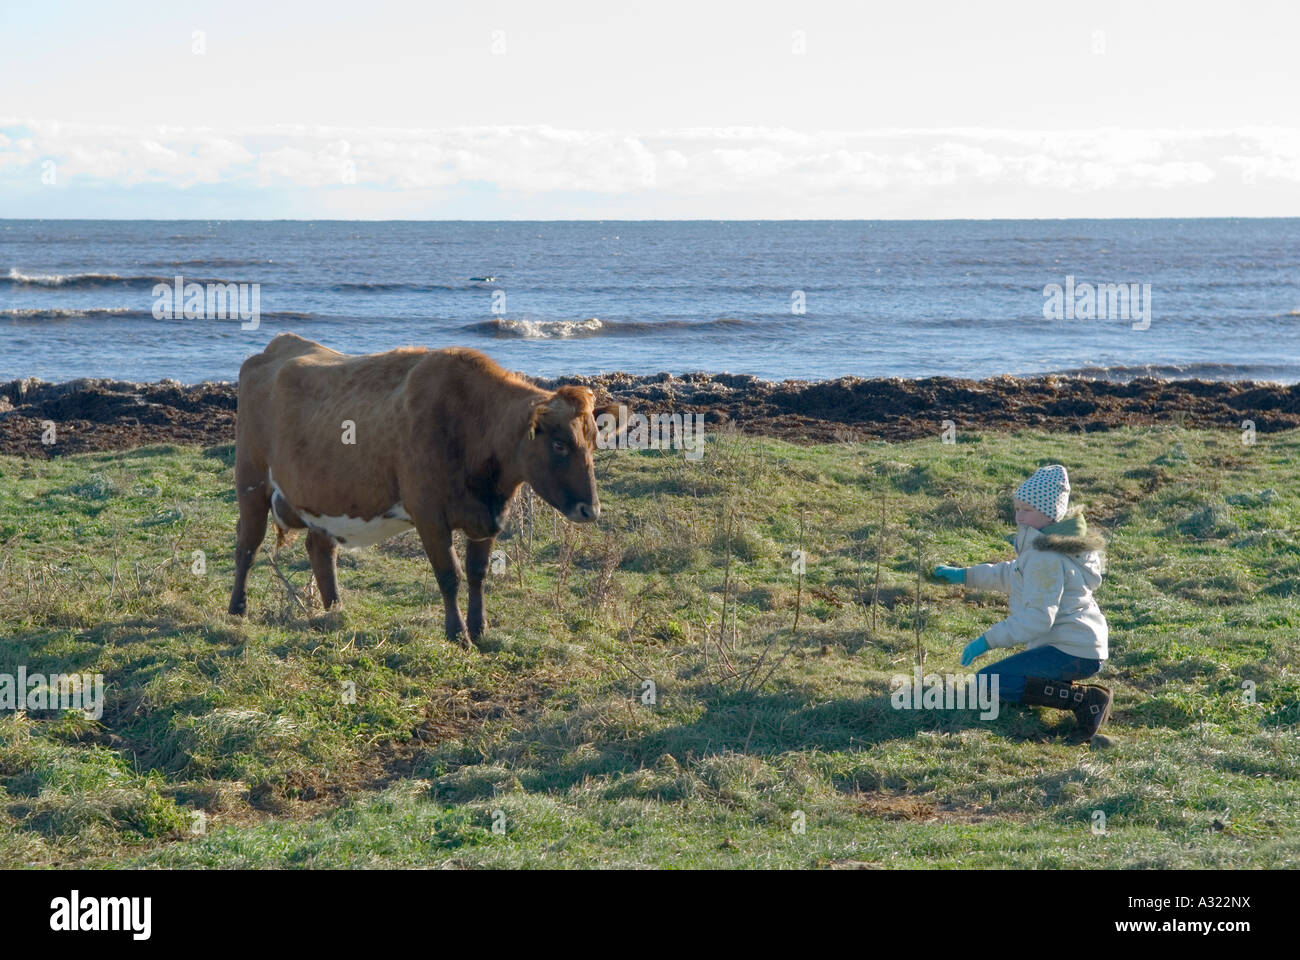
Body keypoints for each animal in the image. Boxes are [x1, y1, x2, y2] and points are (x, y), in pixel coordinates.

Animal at [227, 333, 617, 646]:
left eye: (593, 444)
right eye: (560, 445)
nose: (591, 510)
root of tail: (277, 346)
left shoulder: (487, 518)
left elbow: (477, 574)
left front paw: (480, 628)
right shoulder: (429, 515)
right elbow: (450, 576)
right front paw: (457, 634)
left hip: (322, 496)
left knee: (320, 549)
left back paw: (335, 611)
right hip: (251, 480)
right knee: (248, 545)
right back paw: (237, 610)